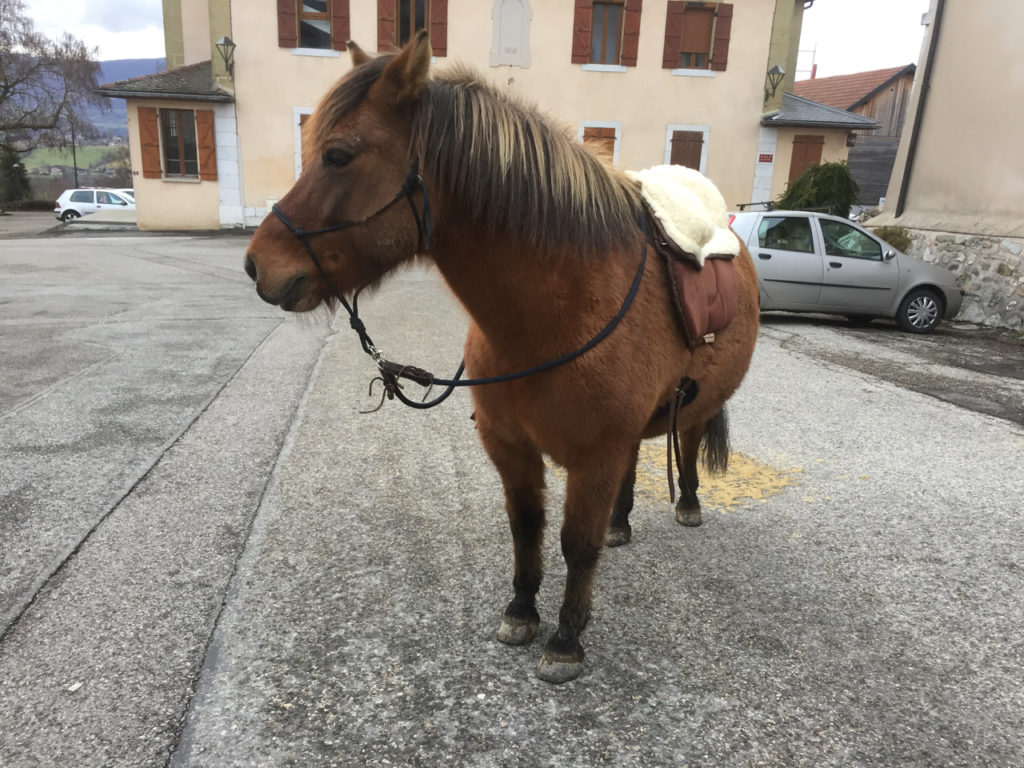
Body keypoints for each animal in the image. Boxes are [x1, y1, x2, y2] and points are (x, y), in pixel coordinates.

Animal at [245, 31, 761, 684]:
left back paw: (688, 504)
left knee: (687, 440)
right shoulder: (510, 444)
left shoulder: (595, 453)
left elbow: (576, 543)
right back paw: (621, 522)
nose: (257, 265)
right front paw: (521, 611)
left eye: (337, 156)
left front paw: (566, 638)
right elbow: (526, 528)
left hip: (687, 407)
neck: (557, 312)